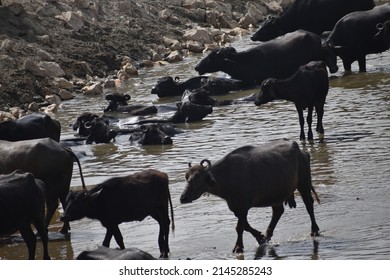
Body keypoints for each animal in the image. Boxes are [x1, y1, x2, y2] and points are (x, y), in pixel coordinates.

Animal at [180, 141, 320, 253]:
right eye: (186, 176)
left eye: (198, 177)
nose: (183, 198)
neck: (227, 177)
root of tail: (302, 151)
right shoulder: (236, 208)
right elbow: (245, 226)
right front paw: (260, 237)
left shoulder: (243, 207)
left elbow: (239, 227)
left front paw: (238, 246)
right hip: (276, 195)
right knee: (278, 212)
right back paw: (267, 235)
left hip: (304, 183)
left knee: (309, 204)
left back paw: (314, 230)